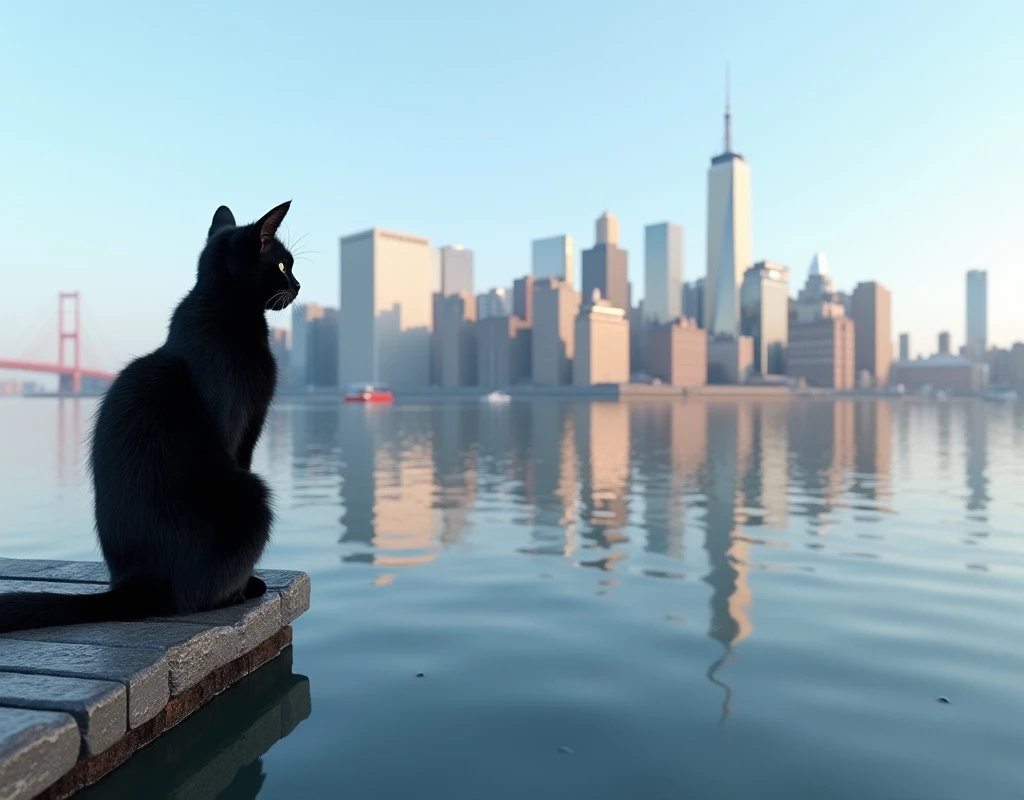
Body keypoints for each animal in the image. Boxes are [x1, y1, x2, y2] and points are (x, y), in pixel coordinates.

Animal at [0, 199, 301, 630]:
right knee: (195, 598)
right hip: (252, 496)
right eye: (282, 265)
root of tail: (135, 586)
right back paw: (242, 591)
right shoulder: (239, 429)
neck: (223, 308)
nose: (298, 286)